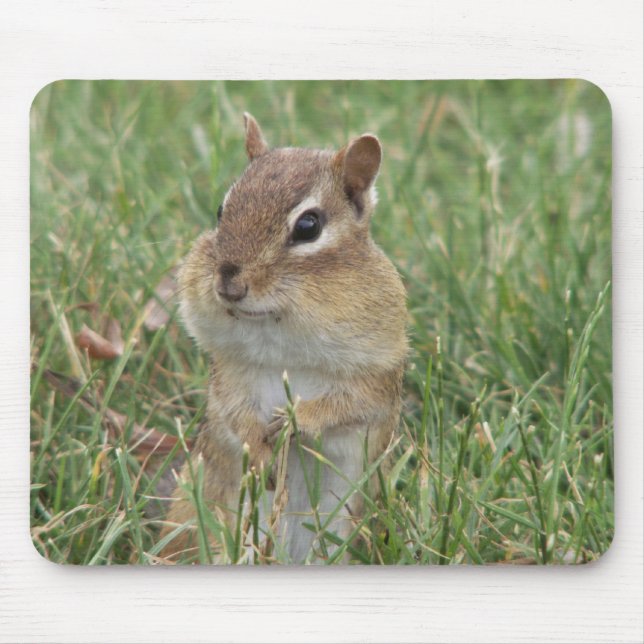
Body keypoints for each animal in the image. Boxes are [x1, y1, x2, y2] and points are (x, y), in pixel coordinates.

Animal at [160, 113, 408, 563]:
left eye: (308, 226)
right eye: (221, 210)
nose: (228, 281)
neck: (278, 333)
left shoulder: (375, 373)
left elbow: (348, 405)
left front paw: (295, 420)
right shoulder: (233, 373)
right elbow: (235, 414)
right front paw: (260, 454)